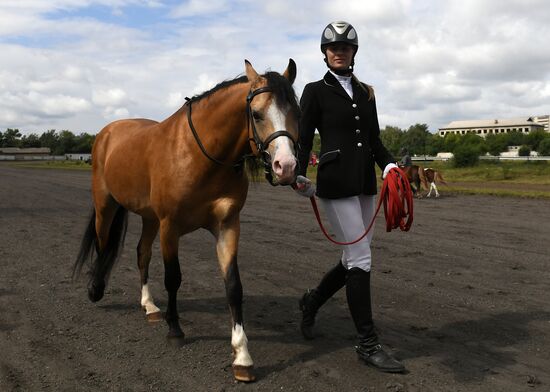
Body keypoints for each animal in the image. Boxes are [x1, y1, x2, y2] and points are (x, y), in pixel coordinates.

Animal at [74, 59, 302, 382]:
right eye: (257, 114)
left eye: (296, 112)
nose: (287, 167)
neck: (202, 156)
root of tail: (107, 132)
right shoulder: (170, 227)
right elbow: (174, 278)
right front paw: (175, 330)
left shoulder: (228, 226)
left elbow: (234, 286)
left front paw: (242, 356)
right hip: (106, 205)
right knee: (103, 242)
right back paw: (95, 289)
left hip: (149, 218)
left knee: (142, 254)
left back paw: (149, 306)